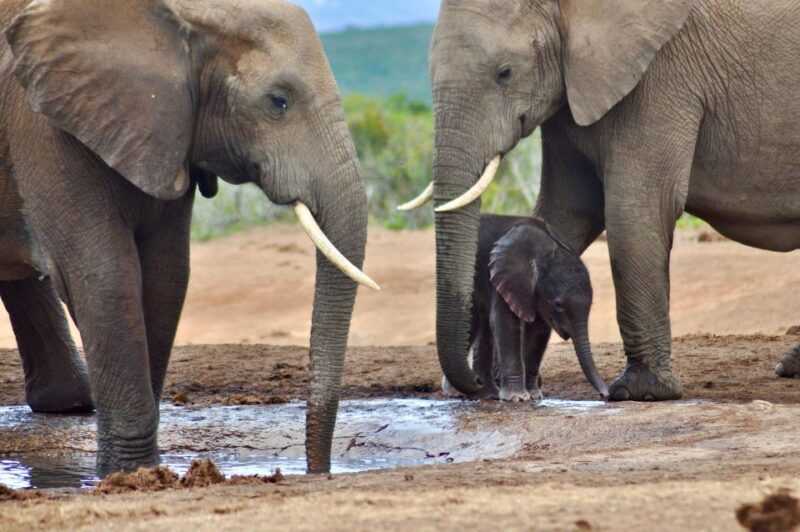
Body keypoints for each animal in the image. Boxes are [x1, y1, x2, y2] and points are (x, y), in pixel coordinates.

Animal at [0, 0, 378, 475]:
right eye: (278, 101)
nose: (316, 471)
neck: (185, 13)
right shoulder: (44, 126)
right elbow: (106, 276)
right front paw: (132, 474)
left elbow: (166, 276)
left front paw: (144, 473)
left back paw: (66, 402)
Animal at [441, 214, 609, 402]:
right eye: (558, 304)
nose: (605, 395)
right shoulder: (506, 276)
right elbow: (505, 323)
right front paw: (517, 398)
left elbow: (538, 330)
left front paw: (535, 395)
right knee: (472, 321)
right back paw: (458, 392)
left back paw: (486, 393)